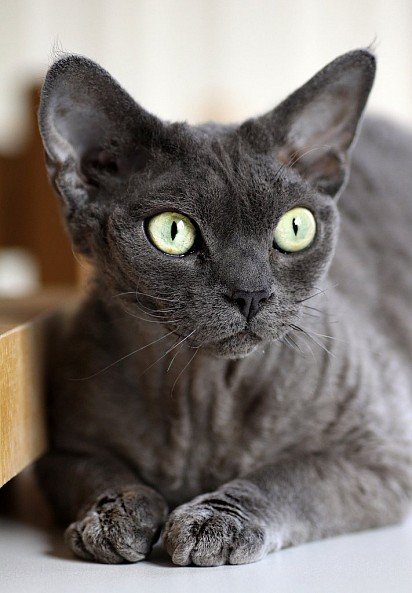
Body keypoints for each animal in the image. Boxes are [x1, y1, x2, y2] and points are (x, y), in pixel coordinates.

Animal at [36, 49, 412, 564]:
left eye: (296, 227)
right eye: (173, 231)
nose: (250, 292)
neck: (202, 396)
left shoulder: (382, 455)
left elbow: (288, 478)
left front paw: (214, 520)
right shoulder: (62, 455)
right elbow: (99, 474)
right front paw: (113, 516)